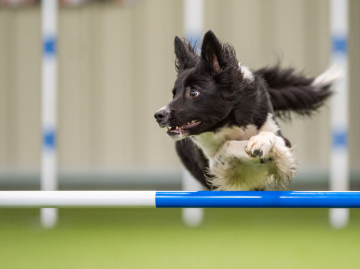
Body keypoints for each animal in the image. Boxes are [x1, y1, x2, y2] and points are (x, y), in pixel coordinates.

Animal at [154, 30, 340, 189]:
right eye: (174, 94)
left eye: (194, 92)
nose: (158, 115)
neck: (231, 123)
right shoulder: (214, 167)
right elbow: (228, 145)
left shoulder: (286, 149)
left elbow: (270, 137)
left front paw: (260, 143)